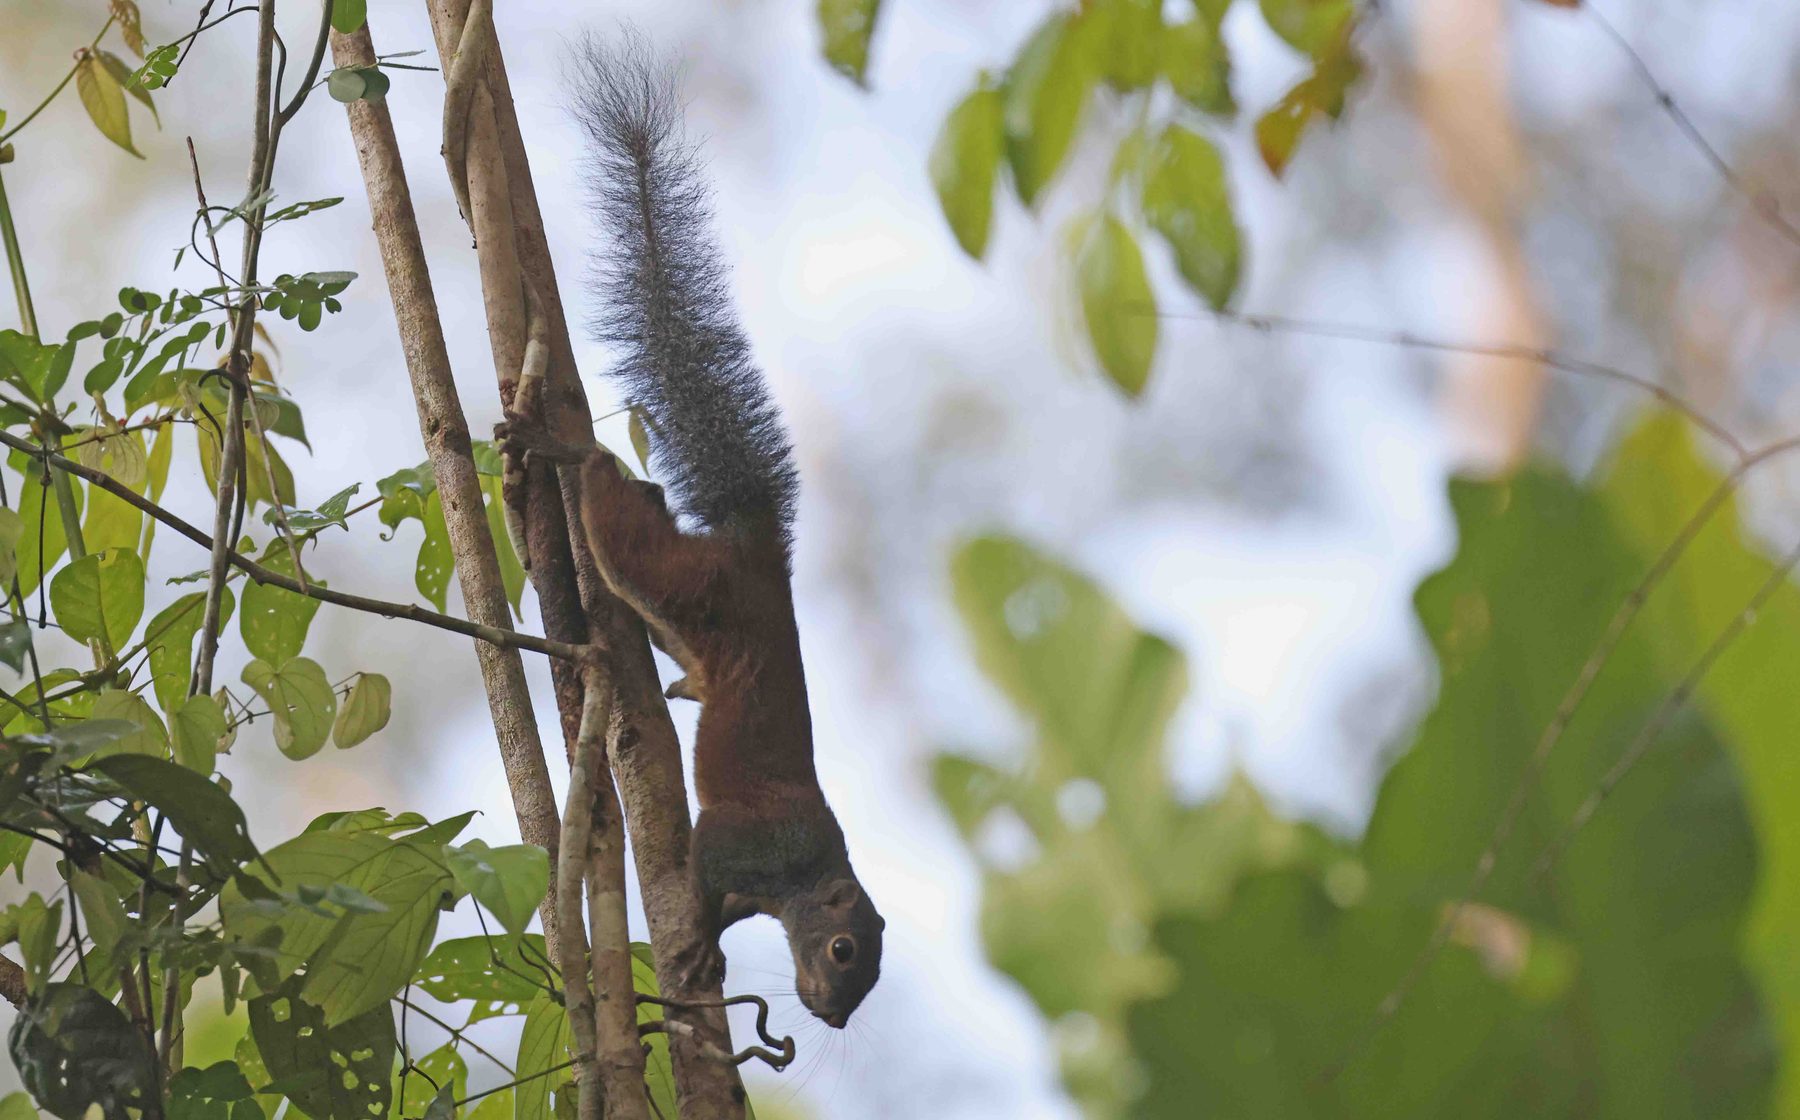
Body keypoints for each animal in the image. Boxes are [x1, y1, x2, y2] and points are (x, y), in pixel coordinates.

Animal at [505, 36, 885, 1030]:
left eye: (872, 972)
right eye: (844, 950)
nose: (833, 1016)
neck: (806, 877)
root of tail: (758, 555)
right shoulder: (746, 842)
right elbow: (708, 874)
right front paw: (699, 945)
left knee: (643, 497)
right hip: (673, 576)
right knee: (615, 503)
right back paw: (560, 449)